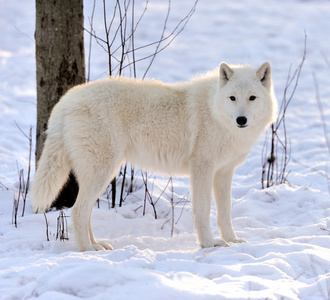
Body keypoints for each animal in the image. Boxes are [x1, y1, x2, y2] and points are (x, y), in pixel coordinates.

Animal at [32, 62, 278, 252]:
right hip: (103, 172)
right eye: (232, 98)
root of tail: (65, 102)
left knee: (85, 212)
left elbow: (225, 213)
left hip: (102, 174)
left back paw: (97, 244)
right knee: (77, 210)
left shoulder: (224, 172)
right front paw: (209, 244)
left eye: (252, 98)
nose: (241, 120)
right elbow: (203, 211)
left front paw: (232, 240)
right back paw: (87, 249)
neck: (215, 111)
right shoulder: (202, 169)